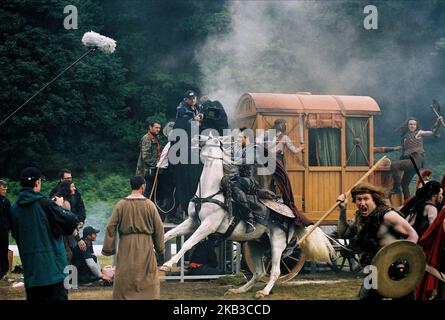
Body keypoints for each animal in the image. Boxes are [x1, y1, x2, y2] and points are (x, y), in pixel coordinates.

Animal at [160, 134, 332, 298]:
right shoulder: (193, 222)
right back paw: (238, 290)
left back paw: (263, 292)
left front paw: (167, 265)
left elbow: (187, 243)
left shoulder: (208, 225)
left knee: (275, 271)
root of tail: (291, 214)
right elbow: (169, 234)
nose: (197, 138)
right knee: (259, 272)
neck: (211, 190)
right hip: (255, 245)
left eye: (210, 138)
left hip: (277, 243)